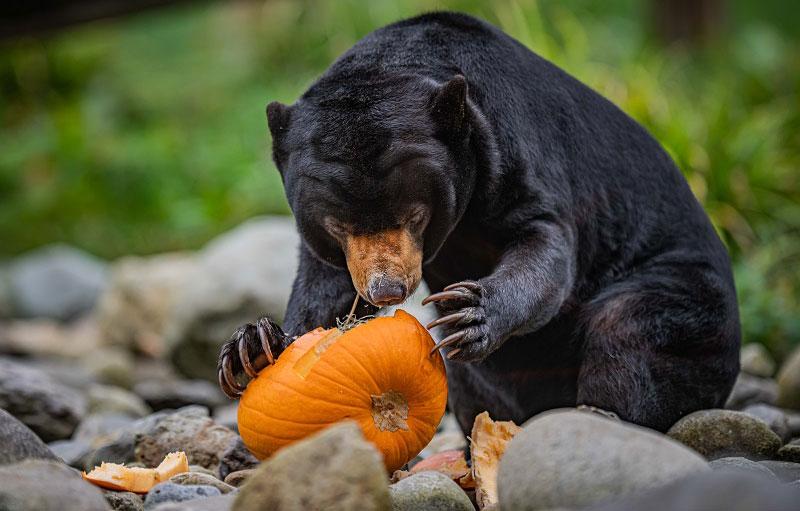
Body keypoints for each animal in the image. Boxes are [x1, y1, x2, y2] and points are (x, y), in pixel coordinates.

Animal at [217, 12, 736, 434]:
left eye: (415, 215)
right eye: (338, 225)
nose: (386, 291)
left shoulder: (517, 149)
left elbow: (547, 246)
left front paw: (468, 313)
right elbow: (325, 288)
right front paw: (253, 348)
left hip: (684, 296)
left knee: (630, 332)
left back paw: (599, 415)